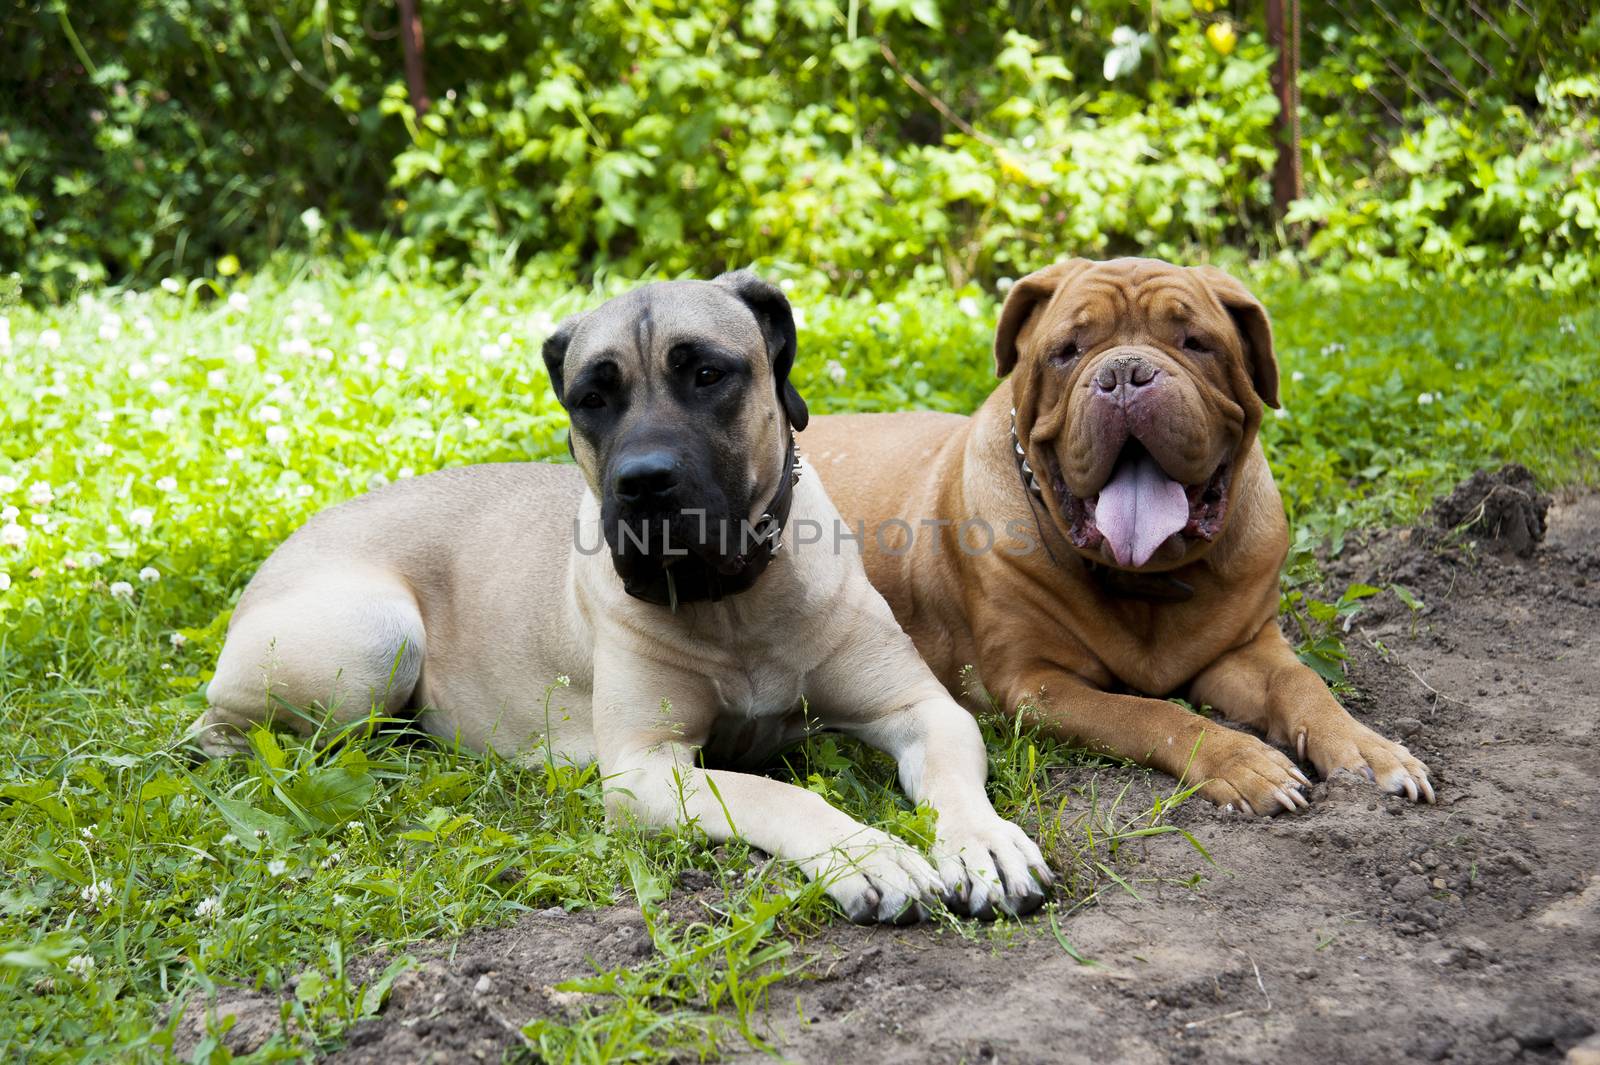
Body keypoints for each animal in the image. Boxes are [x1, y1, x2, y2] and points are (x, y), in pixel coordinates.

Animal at [193, 271, 1049, 921]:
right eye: (591, 398)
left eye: (707, 373)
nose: (642, 482)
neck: (733, 603)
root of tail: (289, 540)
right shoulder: (645, 768)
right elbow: (773, 794)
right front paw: (867, 852)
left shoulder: (923, 708)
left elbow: (949, 776)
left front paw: (983, 842)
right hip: (375, 633)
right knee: (227, 730)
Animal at [806, 259, 1433, 812]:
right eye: (1067, 351)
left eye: (1196, 342)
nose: (1125, 373)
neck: (1147, 580)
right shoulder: (1035, 685)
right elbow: (1149, 714)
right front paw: (1242, 761)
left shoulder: (1246, 648)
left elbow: (1302, 682)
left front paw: (1367, 749)